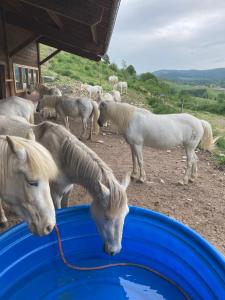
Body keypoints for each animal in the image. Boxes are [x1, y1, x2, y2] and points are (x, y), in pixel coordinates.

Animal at [0, 119, 130, 255]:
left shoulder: (68, 190)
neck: (62, 156)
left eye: (126, 213)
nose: (115, 250)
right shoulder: (55, 195)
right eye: (106, 217)